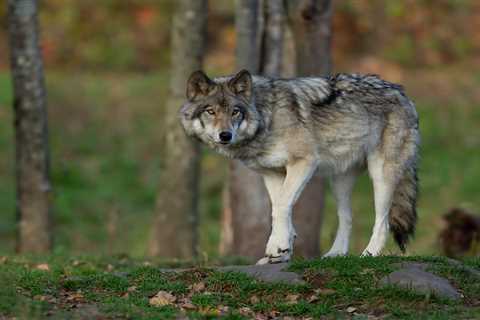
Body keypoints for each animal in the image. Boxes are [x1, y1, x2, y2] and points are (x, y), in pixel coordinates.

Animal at [178, 70, 418, 264]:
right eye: (210, 111)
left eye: (235, 111)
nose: (225, 135)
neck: (267, 117)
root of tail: (402, 93)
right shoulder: (272, 173)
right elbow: (279, 207)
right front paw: (282, 250)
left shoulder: (304, 162)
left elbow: (282, 205)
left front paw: (276, 246)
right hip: (339, 182)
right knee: (347, 218)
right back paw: (336, 254)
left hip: (381, 176)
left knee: (383, 222)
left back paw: (369, 254)